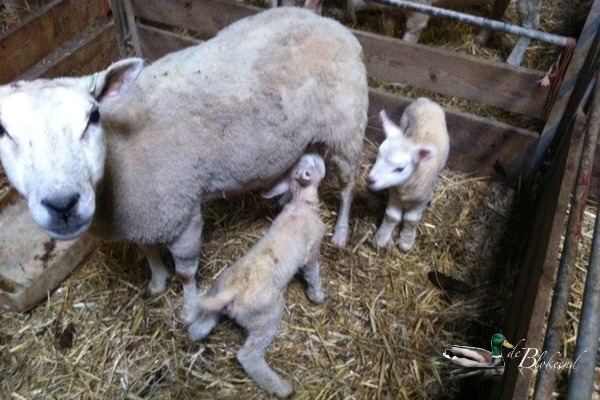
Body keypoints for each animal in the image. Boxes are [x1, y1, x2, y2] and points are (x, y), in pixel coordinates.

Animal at [0, 7, 368, 324]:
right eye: (3, 130)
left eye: (93, 116)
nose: (62, 204)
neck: (119, 155)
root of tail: (325, 21)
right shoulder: (143, 215)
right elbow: (147, 251)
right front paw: (157, 282)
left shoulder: (180, 213)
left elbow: (187, 273)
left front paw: (190, 311)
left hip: (346, 127)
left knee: (348, 186)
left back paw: (340, 233)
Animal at [188, 152, 328, 396]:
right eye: (312, 164)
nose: (318, 154)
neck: (301, 205)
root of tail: (232, 290)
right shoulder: (311, 253)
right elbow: (313, 274)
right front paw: (317, 296)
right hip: (267, 316)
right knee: (248, 355)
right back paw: (281, 387)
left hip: (217, 293)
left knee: (200, 326)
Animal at [368, 97, 448, 252]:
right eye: (378, 156)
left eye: (400, 169)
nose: (370, 180)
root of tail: (425, 100)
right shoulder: (394, 193)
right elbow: (391, 216)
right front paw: (381, 238)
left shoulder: (420, 201)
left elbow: (411, 220)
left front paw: (406, 241)